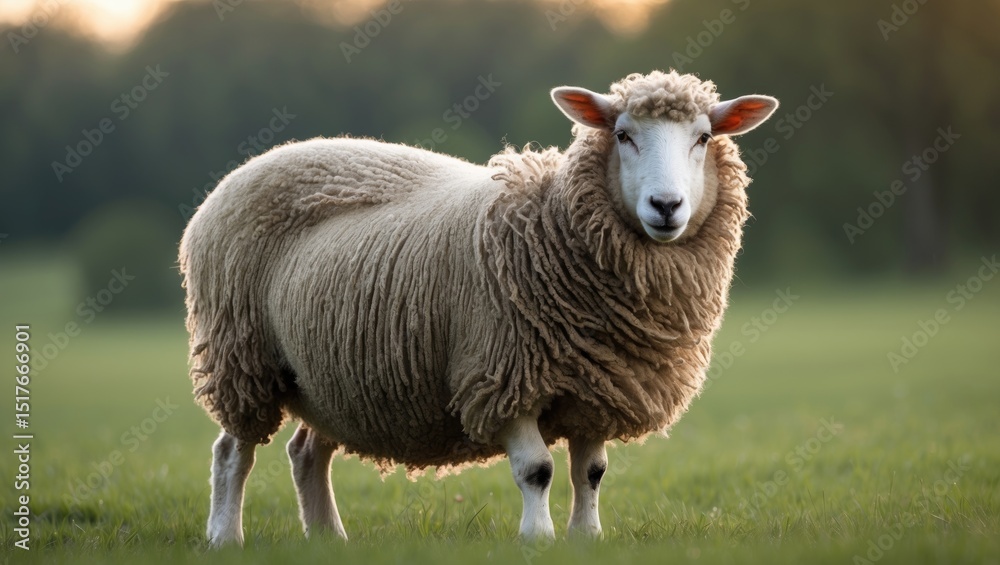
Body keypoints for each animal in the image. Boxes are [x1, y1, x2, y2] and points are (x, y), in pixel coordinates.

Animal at [178, 69, 778, 545]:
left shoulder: (597, 384)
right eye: (623, 135)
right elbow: (537, 470)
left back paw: (329, 538)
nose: (666, 206)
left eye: (703, 137)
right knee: (232, 452)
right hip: (243, 358)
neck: (552, 227)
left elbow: (592, 473)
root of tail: (246, 168)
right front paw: (538, 538)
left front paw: (587, 537)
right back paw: (225, 537)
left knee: (306, 454)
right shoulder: (501, 375)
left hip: (330, 376)